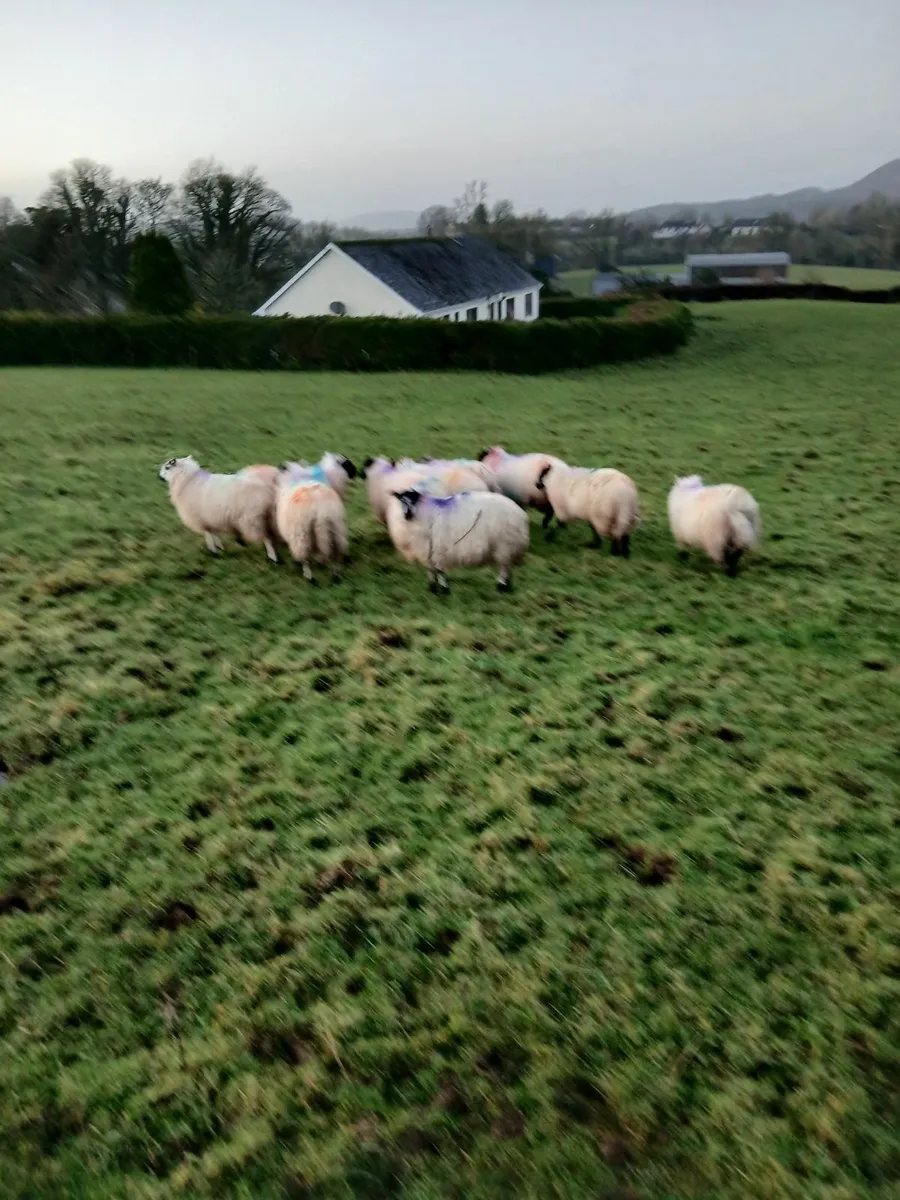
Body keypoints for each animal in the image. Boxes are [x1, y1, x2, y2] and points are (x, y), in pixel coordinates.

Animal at [386, 488, 529, 593]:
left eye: (414, 500)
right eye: (401, 500)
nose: (407, 514)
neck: (424, 513)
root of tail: (520, 513)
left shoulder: (438, 548)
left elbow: (439, 570)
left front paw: (444, 590)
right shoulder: (427, 551)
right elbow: (430, 570)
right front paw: (432, 589)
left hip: (505, 544)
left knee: (503, 568)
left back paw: (501, 587)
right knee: (507, 568)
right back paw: (507, 588)